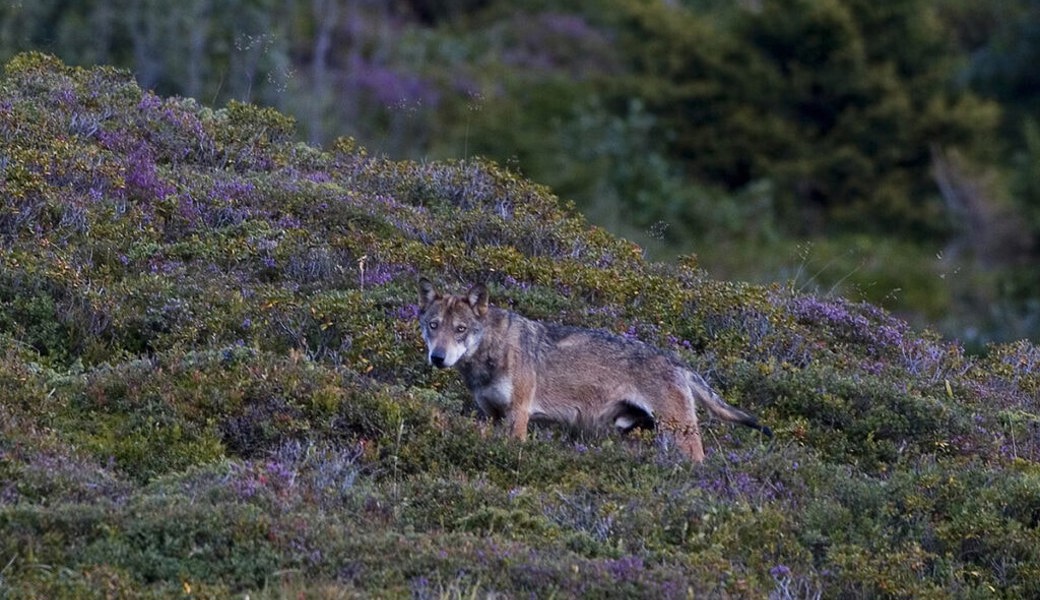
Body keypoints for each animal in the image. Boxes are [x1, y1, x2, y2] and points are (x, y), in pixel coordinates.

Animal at [416, 278, 773, 461]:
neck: (491, 352)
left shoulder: (518, 417)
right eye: (433, 326)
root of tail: (676, 362)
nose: (438, 357)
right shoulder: (491, 416)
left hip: (678, 435)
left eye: (460, 329)